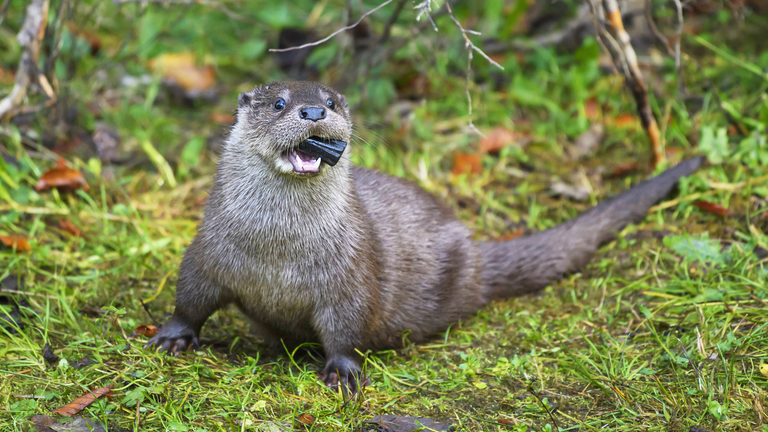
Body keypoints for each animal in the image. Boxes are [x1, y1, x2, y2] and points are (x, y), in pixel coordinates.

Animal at [146, 81, 703, 390]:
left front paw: (342, 371)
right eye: (280, 102)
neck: (277, 251)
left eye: (331, 101)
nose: (313, 112)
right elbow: (190, 298)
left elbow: (347, 325)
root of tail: (475, 252)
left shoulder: (350, 273)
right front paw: (173, 337)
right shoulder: (209, 250)